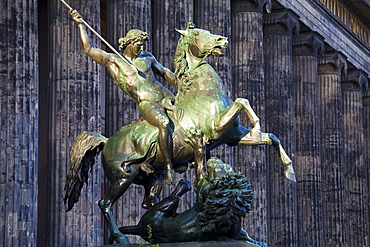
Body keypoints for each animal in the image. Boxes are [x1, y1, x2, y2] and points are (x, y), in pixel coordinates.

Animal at [63, 21, 294, 245]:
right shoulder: (212, 130)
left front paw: (288, 169)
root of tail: (107, 139)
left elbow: (271, 137)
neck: (202, 93)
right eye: (198, 34)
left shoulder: (233, 137)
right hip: (123, 177)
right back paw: (122, 237)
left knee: (148, 203)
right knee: (105, 203)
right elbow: (241, 101)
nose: (222, 39)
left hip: (150, 178)